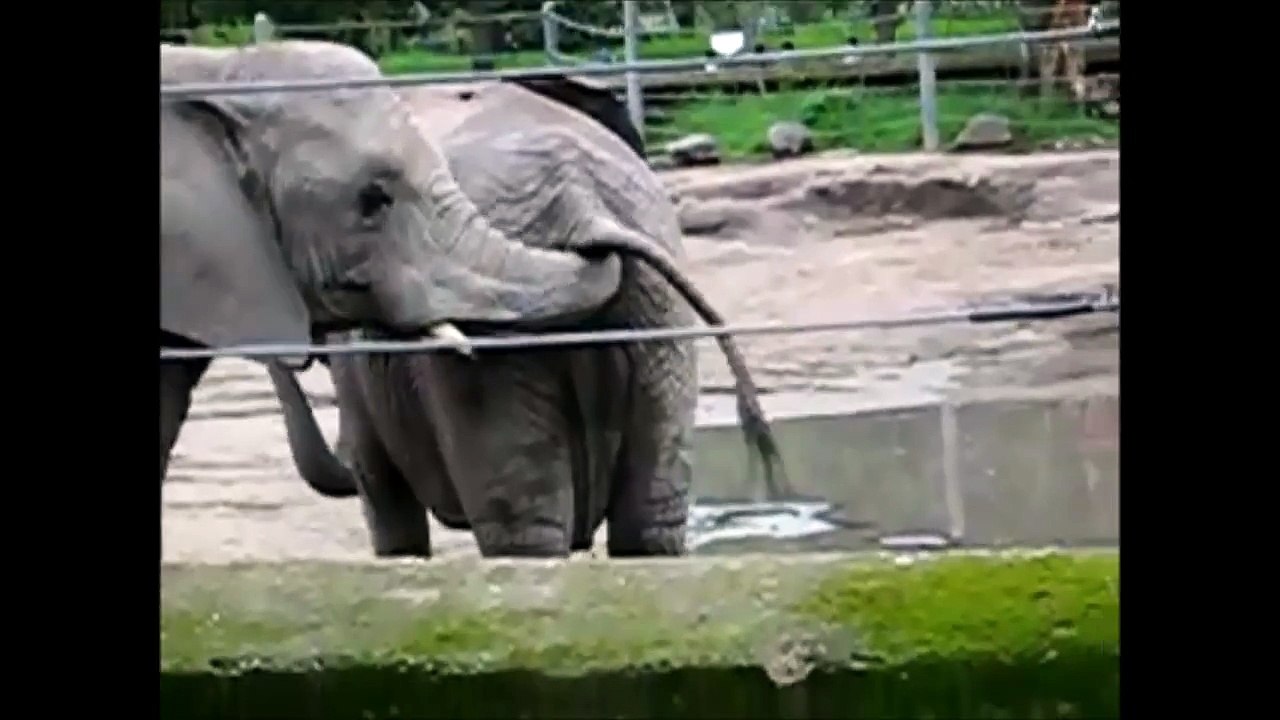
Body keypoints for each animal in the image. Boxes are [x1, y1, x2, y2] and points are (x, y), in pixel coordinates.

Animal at [266, 79, 790, 558]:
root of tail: (581, 203)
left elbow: (386, 506)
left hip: (500, 358)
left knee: (523, 532)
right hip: (658, 315)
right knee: (649, 523)